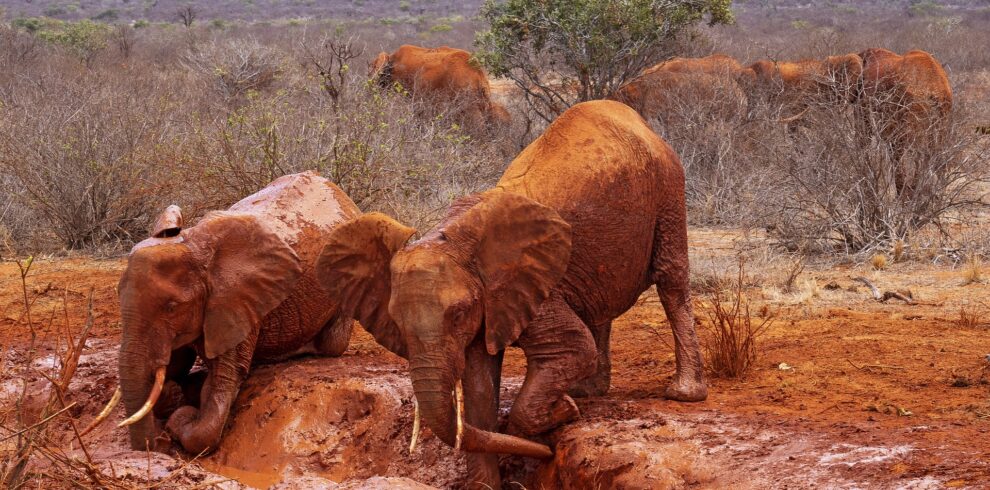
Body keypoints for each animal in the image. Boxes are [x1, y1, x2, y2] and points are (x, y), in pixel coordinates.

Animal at [92, 172, 360, 456]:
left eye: (173, 307)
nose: (151, 447)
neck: (195, 246)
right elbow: (175, 366)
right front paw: (177, 393)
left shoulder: (236, 303)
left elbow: (222, 384)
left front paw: (182, 415)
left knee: (332, 343)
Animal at [314, 99, 708, 486]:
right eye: (396, 321)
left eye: (458, 314)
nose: (548, 454)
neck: (455, 237)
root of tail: (636, 119)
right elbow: (478, 389)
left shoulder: (527, 292)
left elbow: (572, 350)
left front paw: (564, 410)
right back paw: (589, 391)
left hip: (669, 192)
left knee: (672, 281)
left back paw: (682, 393)